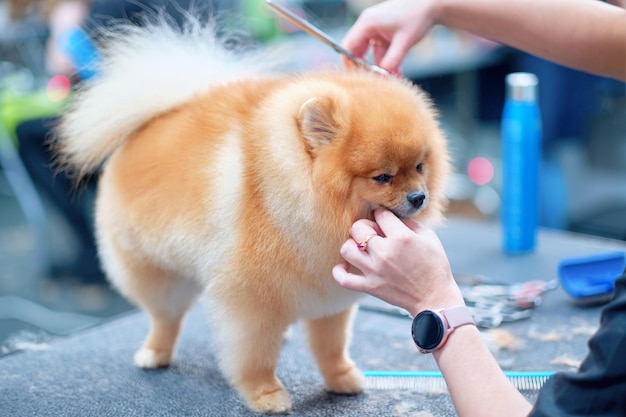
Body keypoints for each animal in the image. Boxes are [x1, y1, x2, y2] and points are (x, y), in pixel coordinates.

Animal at [54, 15, 448, 412]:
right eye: (383, 177)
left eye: (419, 166)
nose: (419, 197)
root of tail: (154, 118)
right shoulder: (251, 301)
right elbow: (254, 354)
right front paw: (266, 394)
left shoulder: (329, 297)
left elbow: (331, 345)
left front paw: (341, 378)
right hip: (157, 272)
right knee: (164, 317)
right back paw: (154, 352)